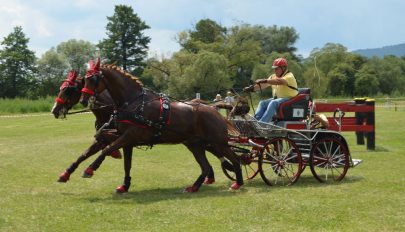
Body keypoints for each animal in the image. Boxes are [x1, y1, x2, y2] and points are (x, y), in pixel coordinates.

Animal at [80, 59, 241, 192]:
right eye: (84, 79)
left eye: (93, 79)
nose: (83, 99)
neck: (134, 102)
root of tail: (214, 110)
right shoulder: (124, 137)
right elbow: (117, 153)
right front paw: (124, 183)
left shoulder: (130, 135)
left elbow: (107, 149)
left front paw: (90, 169)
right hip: (195, 144)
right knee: (206, 167)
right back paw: (194, 187)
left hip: (219, 142)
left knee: (234, 158)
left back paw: (238, 182)